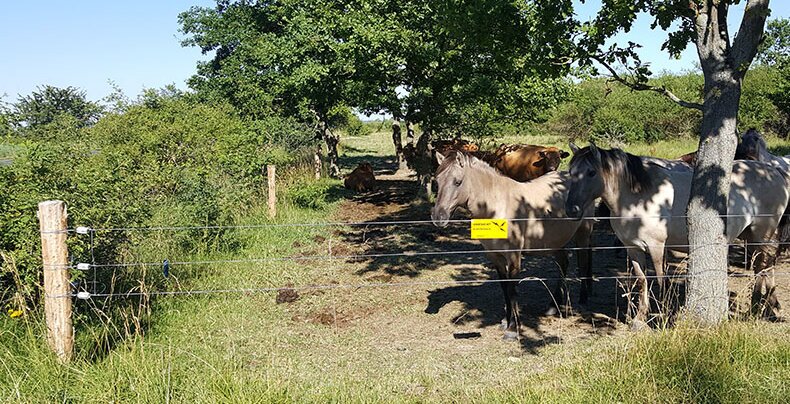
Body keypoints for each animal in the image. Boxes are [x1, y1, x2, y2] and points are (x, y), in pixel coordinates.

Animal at [430, 151, 594, 340]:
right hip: (554, 241)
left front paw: (513, 329)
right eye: (437, 181)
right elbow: (504, 288)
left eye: (458, 182)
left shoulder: (514, 256)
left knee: (583, 261)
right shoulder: (495, 256)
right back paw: (553, 306)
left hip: (583, 232)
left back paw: (583, 301)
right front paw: (506, 321)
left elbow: (512, 289)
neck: (497, 206)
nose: (438, 216)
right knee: (563, 263)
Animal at [565, 143, 789, 324]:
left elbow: (661, 281)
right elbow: (642, 280)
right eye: (571, 172)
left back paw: (757, 307)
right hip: (752, 237)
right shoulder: (633, 248)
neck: (638, 198)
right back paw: (767, 306)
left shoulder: (657, 247)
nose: (571, 210)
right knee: (764, 267)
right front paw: (640, 318)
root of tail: (775, 171)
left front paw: (663, 315)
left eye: (591, 172)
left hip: (762, 234)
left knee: (761, 267)